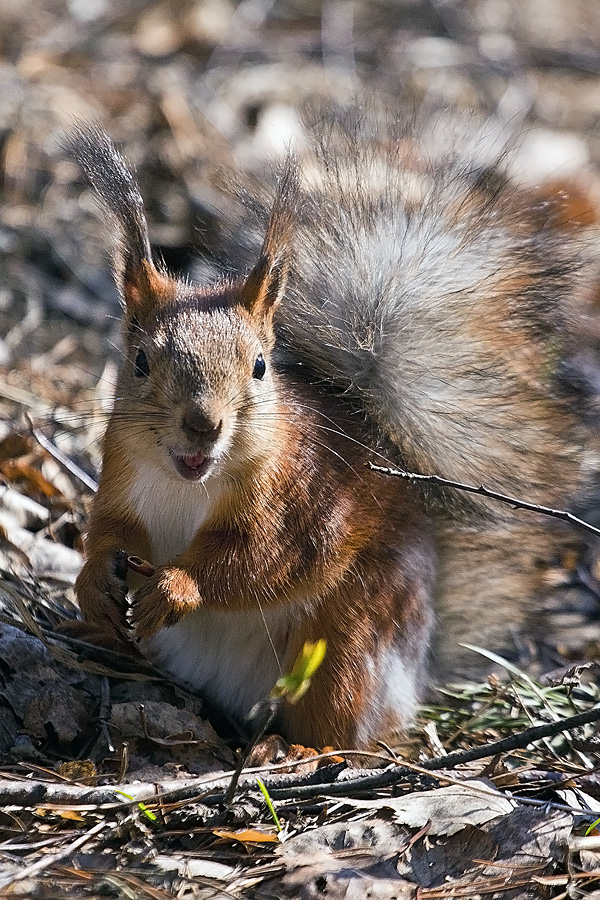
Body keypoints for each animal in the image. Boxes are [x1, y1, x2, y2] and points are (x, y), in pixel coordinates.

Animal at [67, 112, 600, 748]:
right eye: (141, 361)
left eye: (260, 366)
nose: (203, 425)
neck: (187, 483)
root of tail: (416, 675)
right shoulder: (120, 478)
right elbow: (108, 532)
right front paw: (91, 583)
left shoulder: (302, 503)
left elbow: (262, 563)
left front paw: (179, 586)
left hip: (348, 640)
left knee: (344, 729)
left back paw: (295, 752)